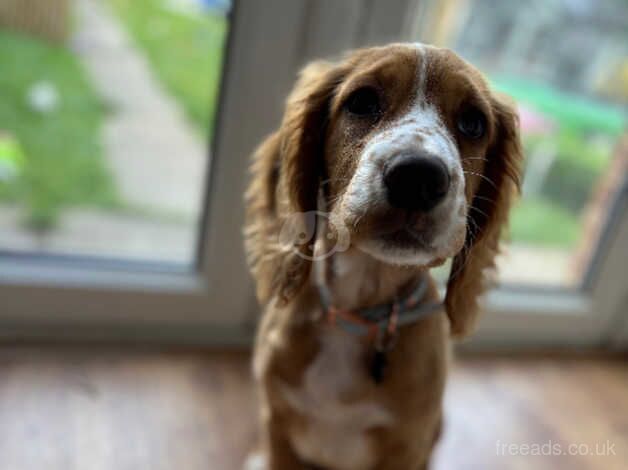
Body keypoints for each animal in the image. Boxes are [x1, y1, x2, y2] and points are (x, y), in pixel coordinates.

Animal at [243, 42, 524, 468]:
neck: (358, 312)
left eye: (473, 124)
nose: (418, 177)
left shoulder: (408, 445)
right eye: (362, 101)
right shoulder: (278, 425)